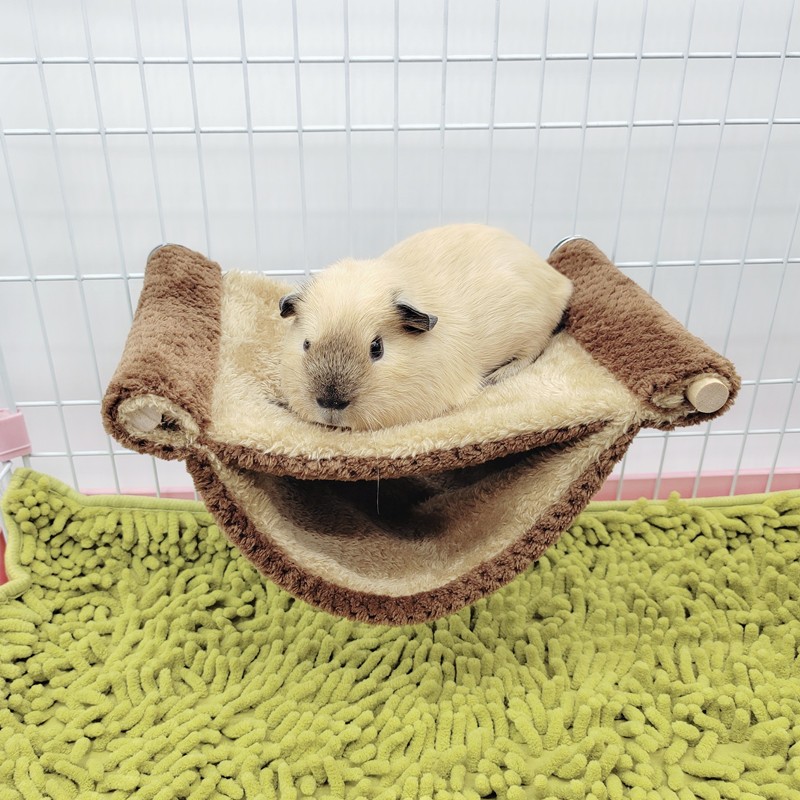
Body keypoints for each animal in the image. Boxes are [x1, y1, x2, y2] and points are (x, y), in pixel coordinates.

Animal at [278, 223, 573, 430]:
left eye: (377, 348)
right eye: (306, 344)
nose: (330, 403)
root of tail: (561, 282)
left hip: (534, 331)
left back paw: (497, 376)